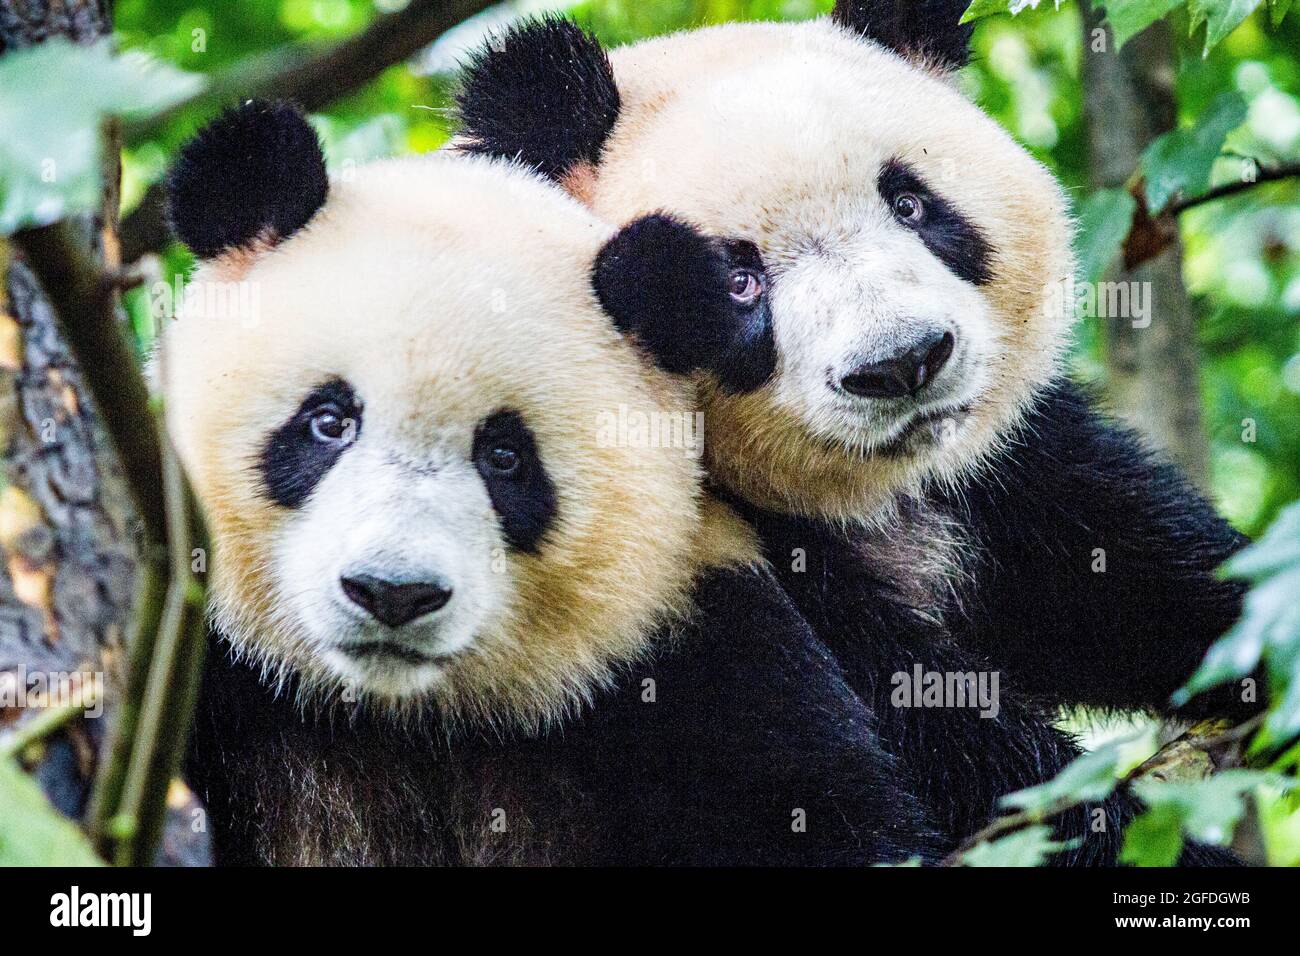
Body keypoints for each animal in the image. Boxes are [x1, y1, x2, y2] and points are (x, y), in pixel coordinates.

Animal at [454, 1, 1248, 868]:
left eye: (910, 203)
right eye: (738, 281)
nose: (902, 363)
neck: (859, 497)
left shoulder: (997, 477)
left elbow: (1117, 566)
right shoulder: (672, 556)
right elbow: (940, 742)